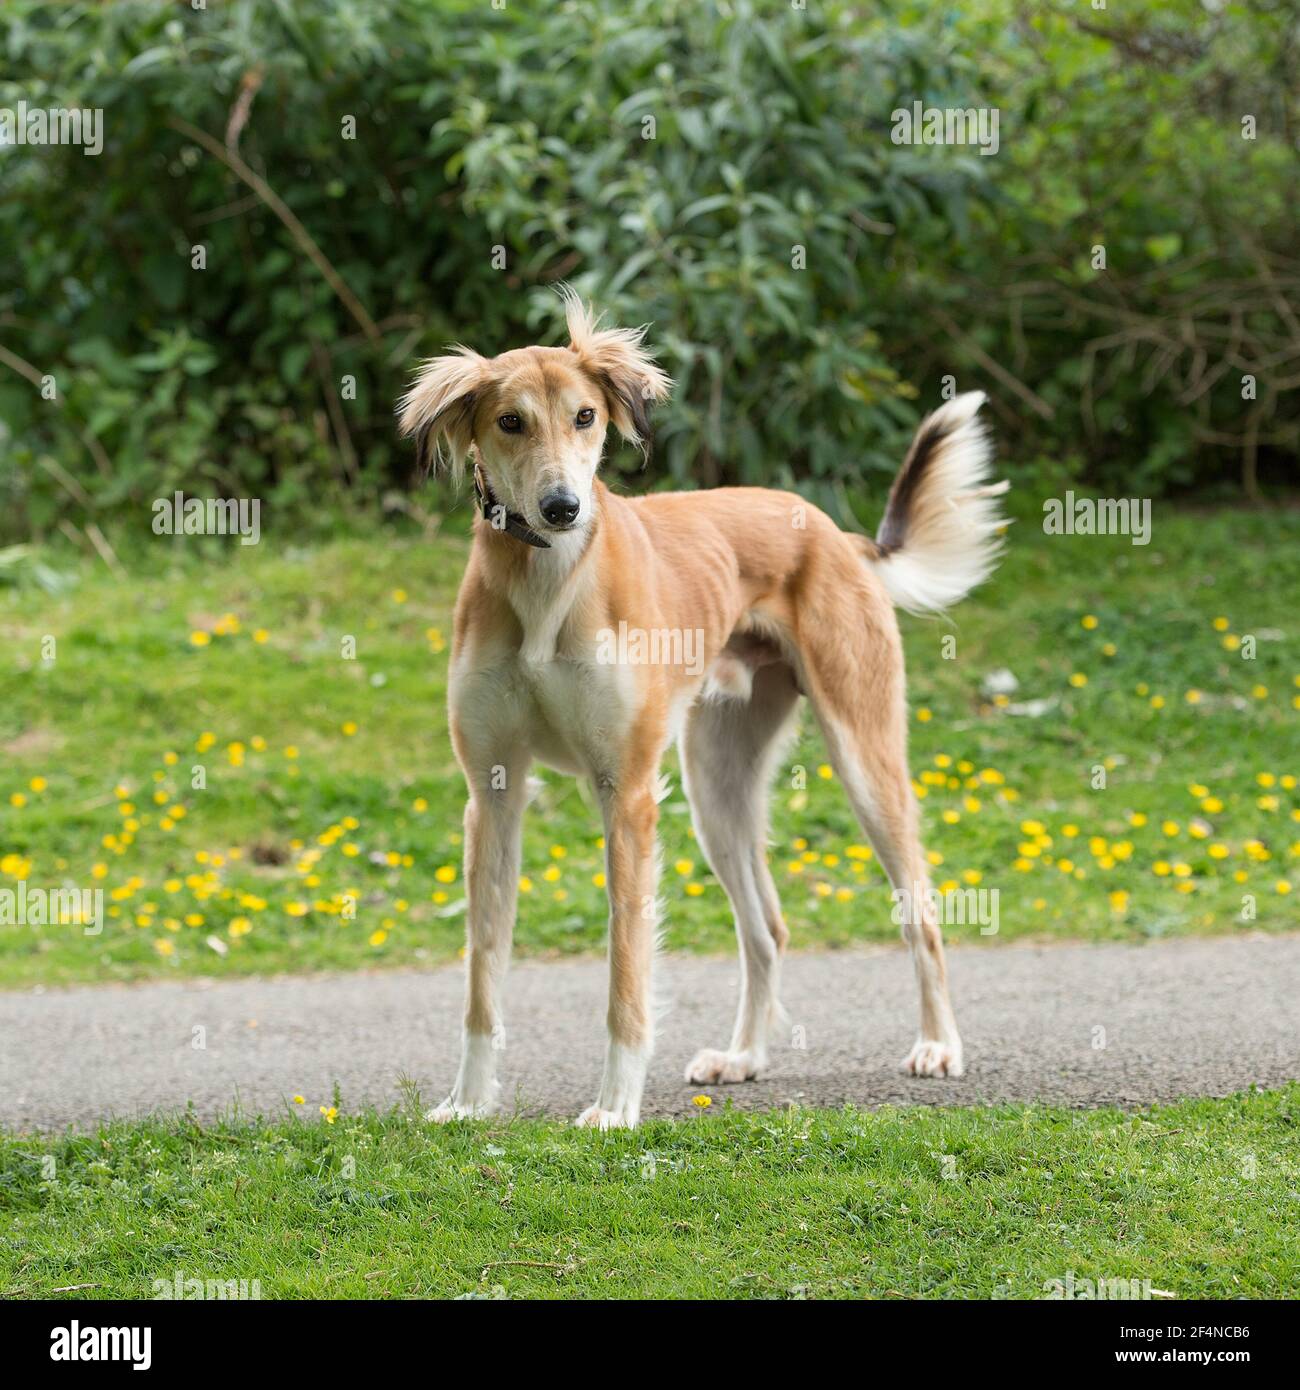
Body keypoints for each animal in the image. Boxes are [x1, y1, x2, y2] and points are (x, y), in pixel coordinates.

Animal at [400, 293, 1012, 1128]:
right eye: (510, 421)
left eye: (585, 416)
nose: (562, 508)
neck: (546, 584)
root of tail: (837, 533)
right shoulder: (492, 792)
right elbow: (483, 972)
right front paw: (468, 1100)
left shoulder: (625, 793)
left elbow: (627, 969)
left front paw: (614, 1106)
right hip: (716, 786)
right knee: (767, 929)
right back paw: (744, 1055)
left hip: (864, 756)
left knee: (919, 908)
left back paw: (938, 1045)